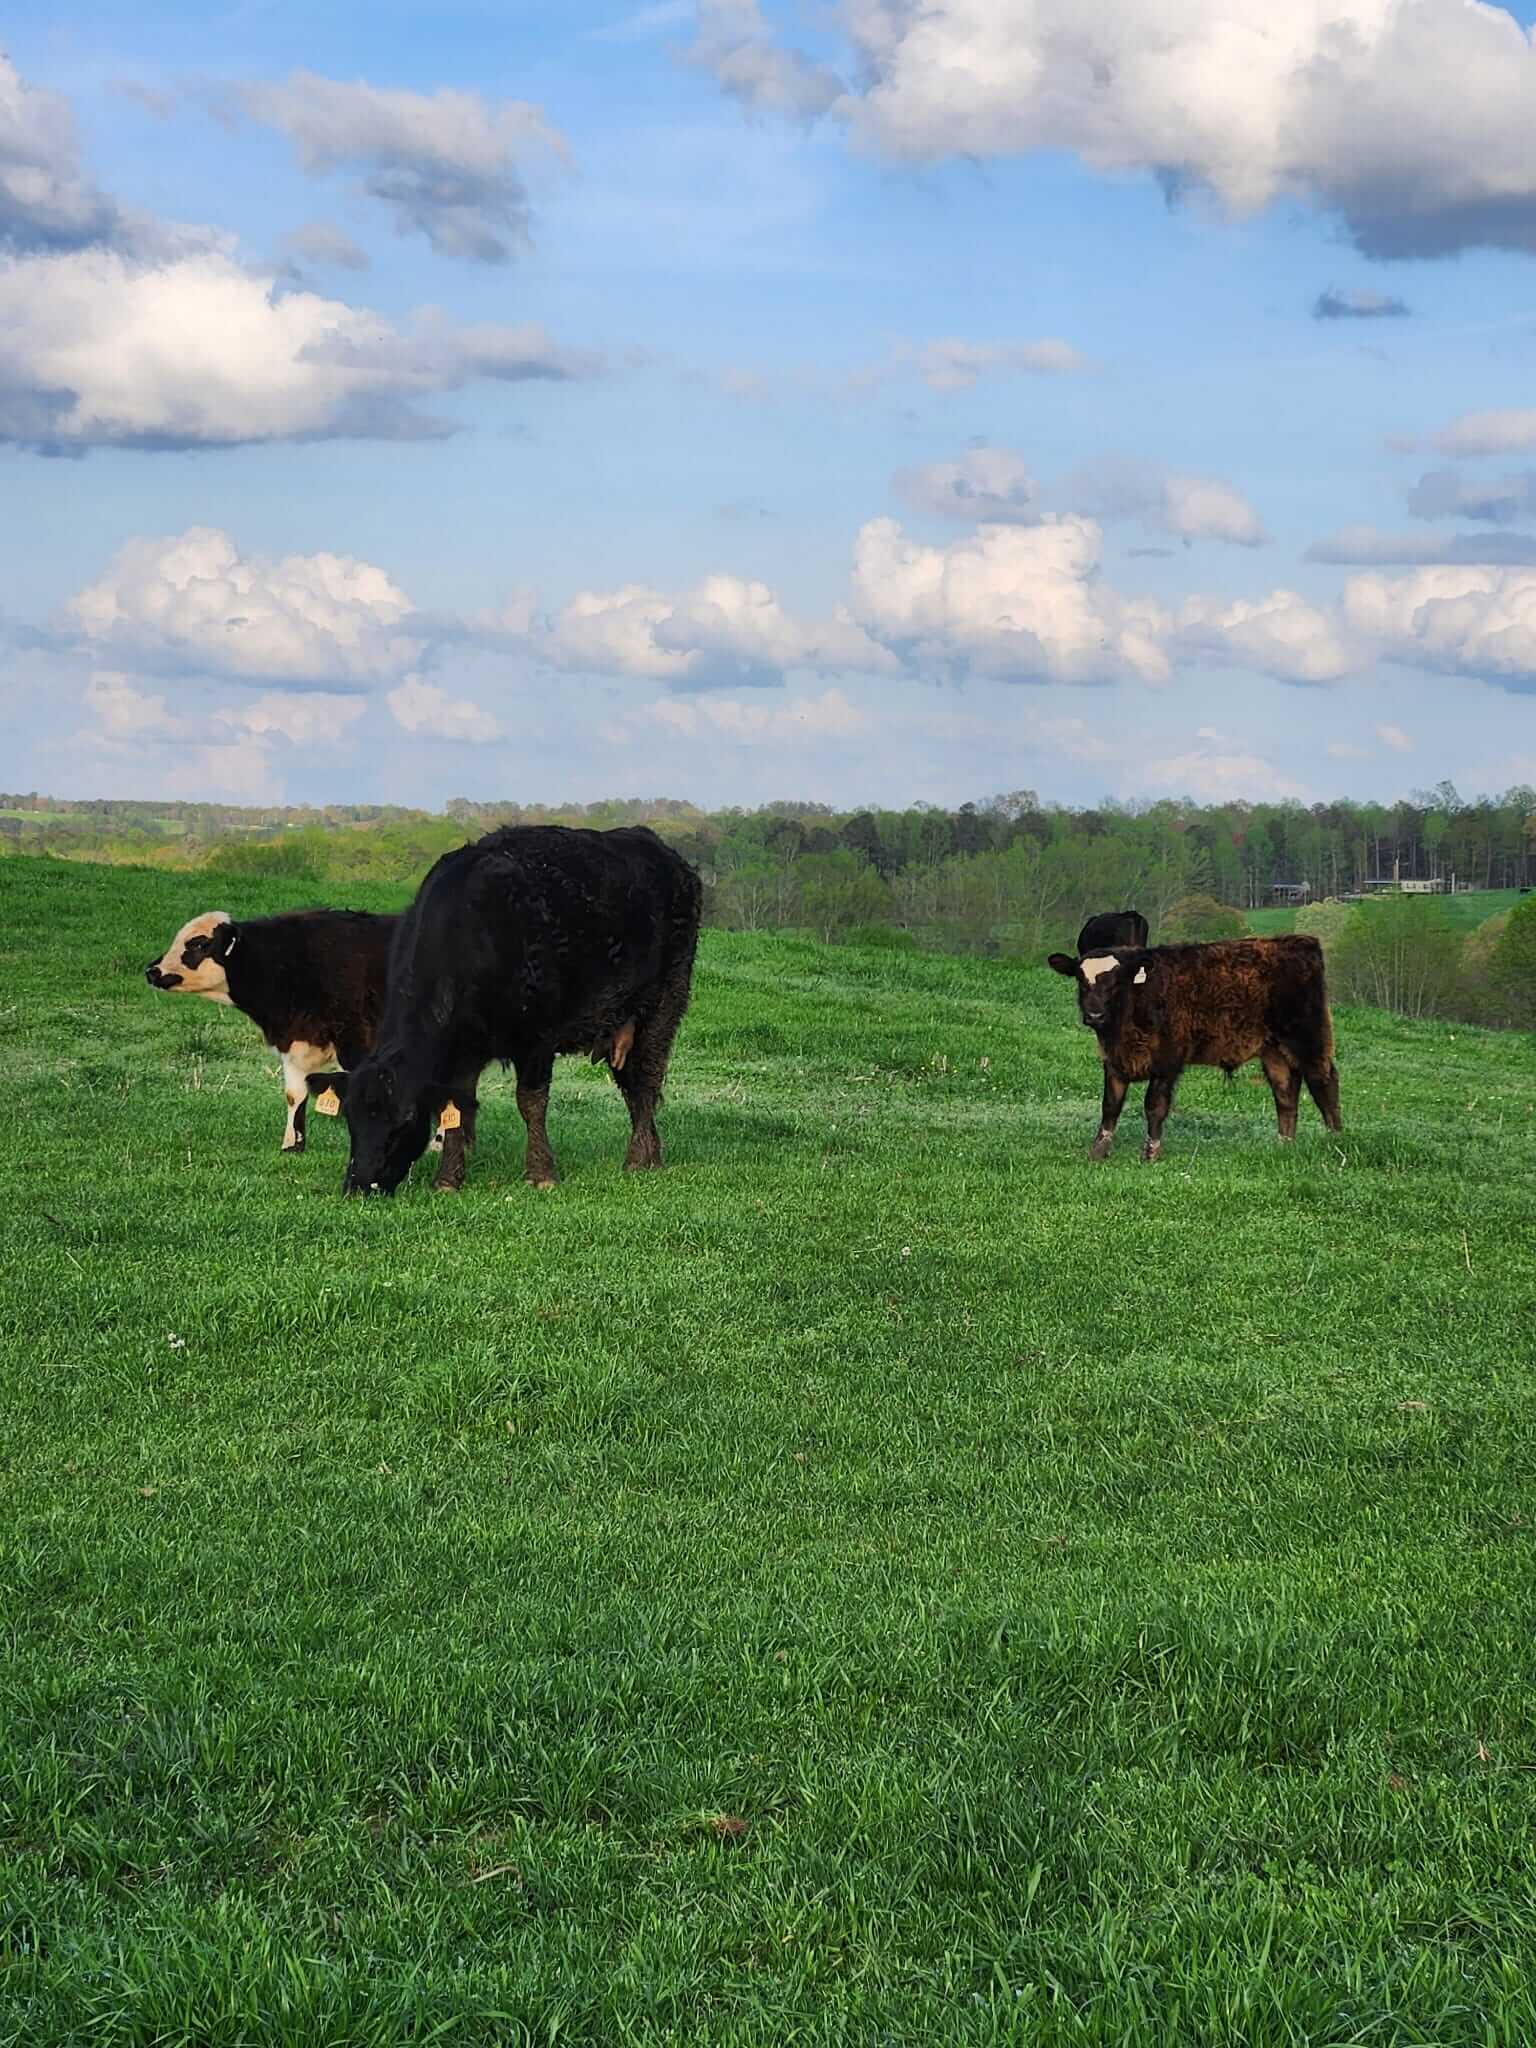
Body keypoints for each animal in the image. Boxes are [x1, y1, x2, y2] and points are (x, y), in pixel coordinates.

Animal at [145, 907, 459, 1162]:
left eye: (199, 943)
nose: (152, 970)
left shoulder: (357, 1045)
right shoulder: (294, 1042)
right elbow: (294, 1095)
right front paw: (292, 1145)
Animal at [321, 824, 703, 1196]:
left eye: (404, 1119)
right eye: (350, 1119)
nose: (359, 1184)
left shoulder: (537, 1040)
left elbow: (531, 1103)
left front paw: (541, 1173)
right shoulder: (463, 1051)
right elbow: (457, 1108)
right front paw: (448, 1180)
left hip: (663, 1007)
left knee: (645, 1082)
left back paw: (639, 1159)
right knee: (632, 1084)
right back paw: (651, 1155)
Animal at [1046, 933, 1342, 1161]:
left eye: (1116, 981)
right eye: (1081, 980)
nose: (1094, 1015)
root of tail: (1299, 941)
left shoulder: (1168, 1061)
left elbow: (1154, 1105)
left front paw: (1150, 1153)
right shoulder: (1114, 1061)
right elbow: (1110, 1105)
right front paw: (1098, 1150)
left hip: (1308, 1038)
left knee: (1324, 1082)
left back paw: (1335, 1139)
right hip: (1274, 1051)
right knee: (1285, 1093)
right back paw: (1284, 1144)